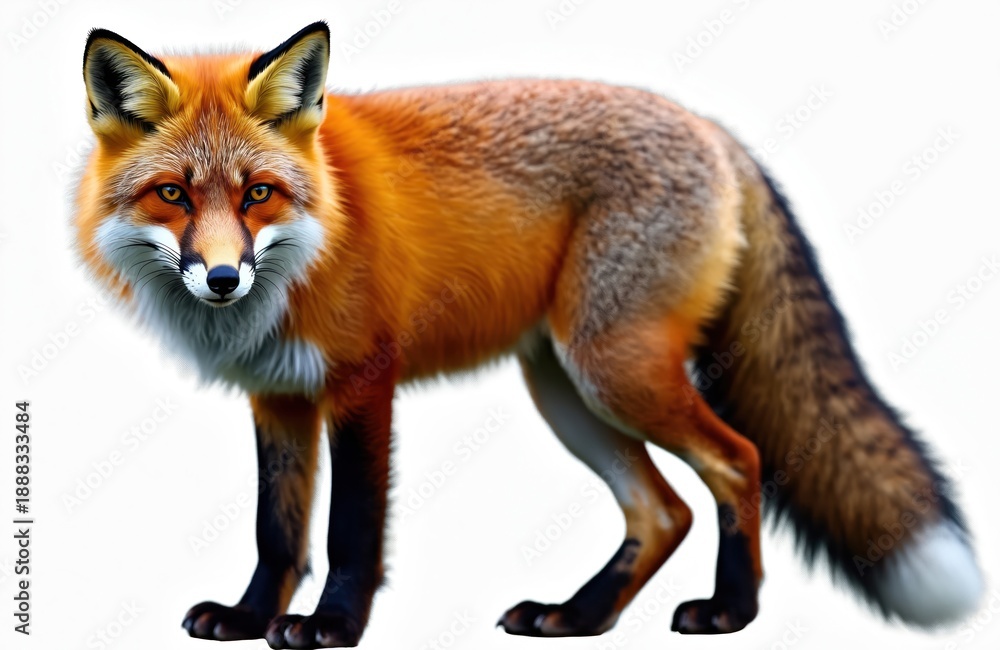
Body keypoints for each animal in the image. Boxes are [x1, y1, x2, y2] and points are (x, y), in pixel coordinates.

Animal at [74, 21, 983, 649]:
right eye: (173, 195)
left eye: (257, 193)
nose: (224, 280)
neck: (318, 232)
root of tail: (710, 126)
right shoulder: (280, 397)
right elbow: (278, 532)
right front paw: (251, 616)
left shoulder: (363, 385)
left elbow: (350, 532)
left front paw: (331, 627)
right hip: (567, 393)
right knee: (663, 511)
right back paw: (578, 616)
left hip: (613, 371)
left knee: (739, 461)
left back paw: (732, 610)